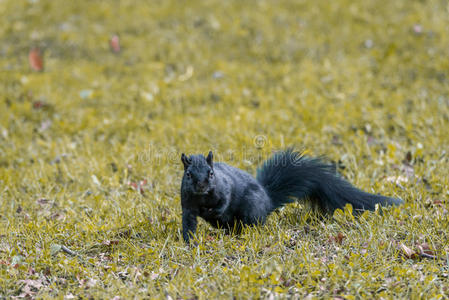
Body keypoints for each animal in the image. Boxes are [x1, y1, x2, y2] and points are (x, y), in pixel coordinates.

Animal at [178, 148, 402, 244]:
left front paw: (212, 211)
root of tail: (268, 200)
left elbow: (224, 203)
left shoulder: (225, 189)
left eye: (211, 174)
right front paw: (189, 242)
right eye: (188, 174)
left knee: (252, 223)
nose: (201, 186)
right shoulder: (187, 205)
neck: (202, 198)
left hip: (251, 206)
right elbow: (189, 223)